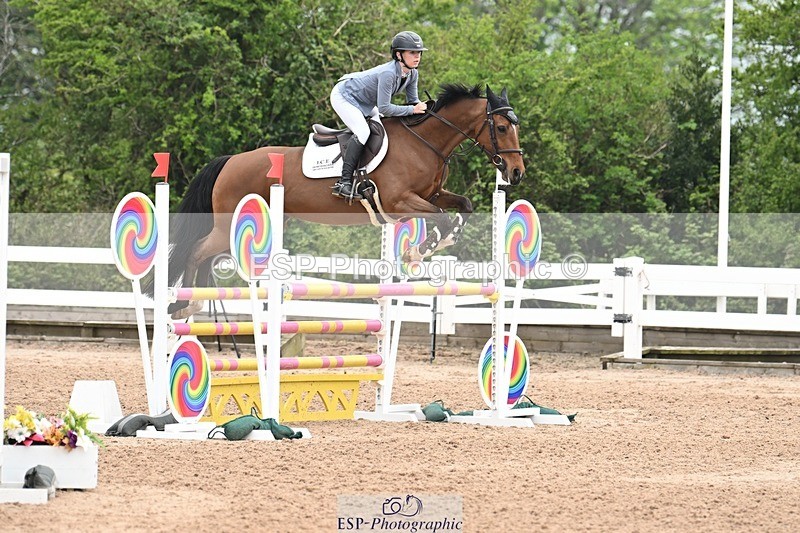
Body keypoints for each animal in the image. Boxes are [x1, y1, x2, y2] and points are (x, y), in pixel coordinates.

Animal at [158, 83, 526, 318]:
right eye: (502, 127)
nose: (517, 172)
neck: (425, 142)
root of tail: (230, 161)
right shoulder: (400, 202)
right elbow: (441, 217)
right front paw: (418, 250)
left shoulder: (430, 195)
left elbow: (462, 207)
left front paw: (436, 245)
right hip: (227, 225)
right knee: (196, 251)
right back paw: (183, 303)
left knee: (205, 255)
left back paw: (194, 301)